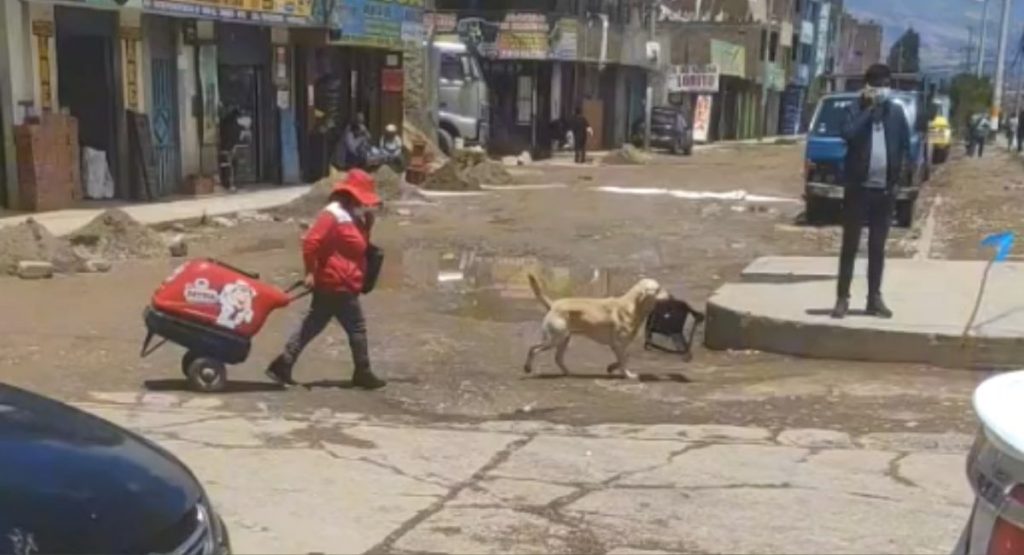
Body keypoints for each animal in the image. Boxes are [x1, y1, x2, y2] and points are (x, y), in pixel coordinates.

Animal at [524, 276, 667, 380]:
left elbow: (625, 358)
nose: (671, 296)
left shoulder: (618, 346)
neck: (633, 306)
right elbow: (624, 360)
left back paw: (568, 372)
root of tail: (553, 304)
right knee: (533, 349)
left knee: (557, 358)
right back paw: (527, 368)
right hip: (554, 340)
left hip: (563, 339)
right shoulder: (618, 344)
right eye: (658, 289)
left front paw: (611, 367)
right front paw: (628, 375)